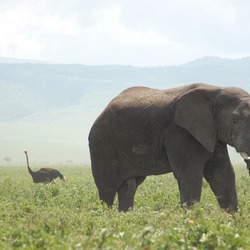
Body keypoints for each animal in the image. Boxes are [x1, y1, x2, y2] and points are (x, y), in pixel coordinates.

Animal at [89, 83, 249, 212]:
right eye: (234, 121)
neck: (217, 91)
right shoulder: (179, 133)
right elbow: (190, 176)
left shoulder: (213, 135)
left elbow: (222, 175)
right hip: (101, 144)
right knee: (107, 189)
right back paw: (106, 216)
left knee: (128, 188)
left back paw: (124, 216)